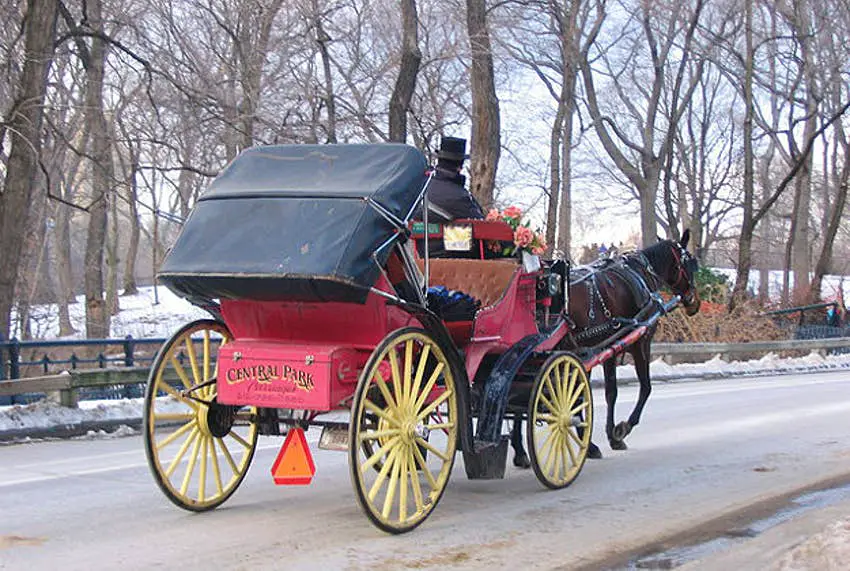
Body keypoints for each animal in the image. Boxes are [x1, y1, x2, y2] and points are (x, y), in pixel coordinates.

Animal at [510, 228, 704, 464]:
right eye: (689, 263)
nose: (694, 301)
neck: (640, 272)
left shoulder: (599, 349)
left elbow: (601, 393)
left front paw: (605, 435)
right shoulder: (638, 343)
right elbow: (641, 388)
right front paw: (620, 430)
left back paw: (521, 451)